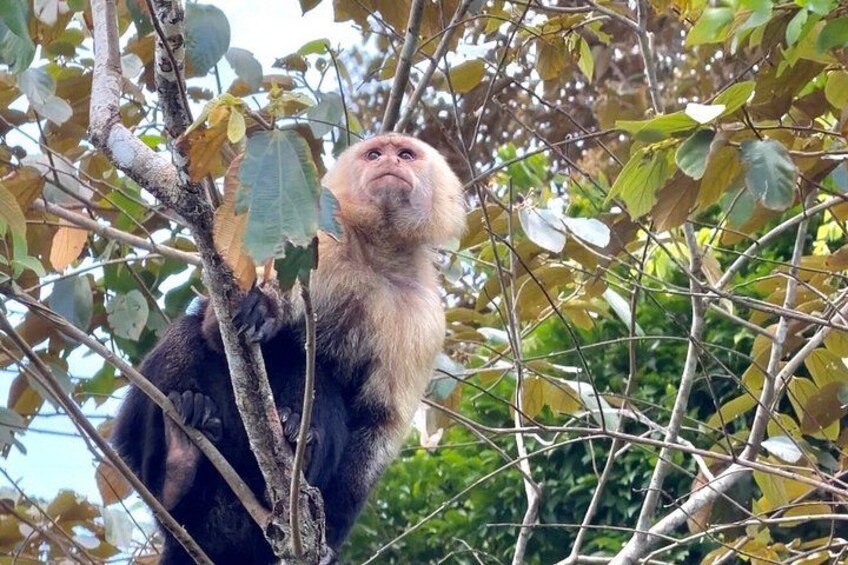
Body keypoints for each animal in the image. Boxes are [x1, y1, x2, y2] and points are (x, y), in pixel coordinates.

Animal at [111, 133, 466, 564]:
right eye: (375, 154)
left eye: (406, 155)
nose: (390, 163)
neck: (374, 257)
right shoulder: (321, 242)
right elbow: (216, 330)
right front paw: (263, 307)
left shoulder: (424, 319)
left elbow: (377, 422)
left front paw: (330, 541)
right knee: (189, 336)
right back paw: (177, 470)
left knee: (320, 384)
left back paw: (297, 441)